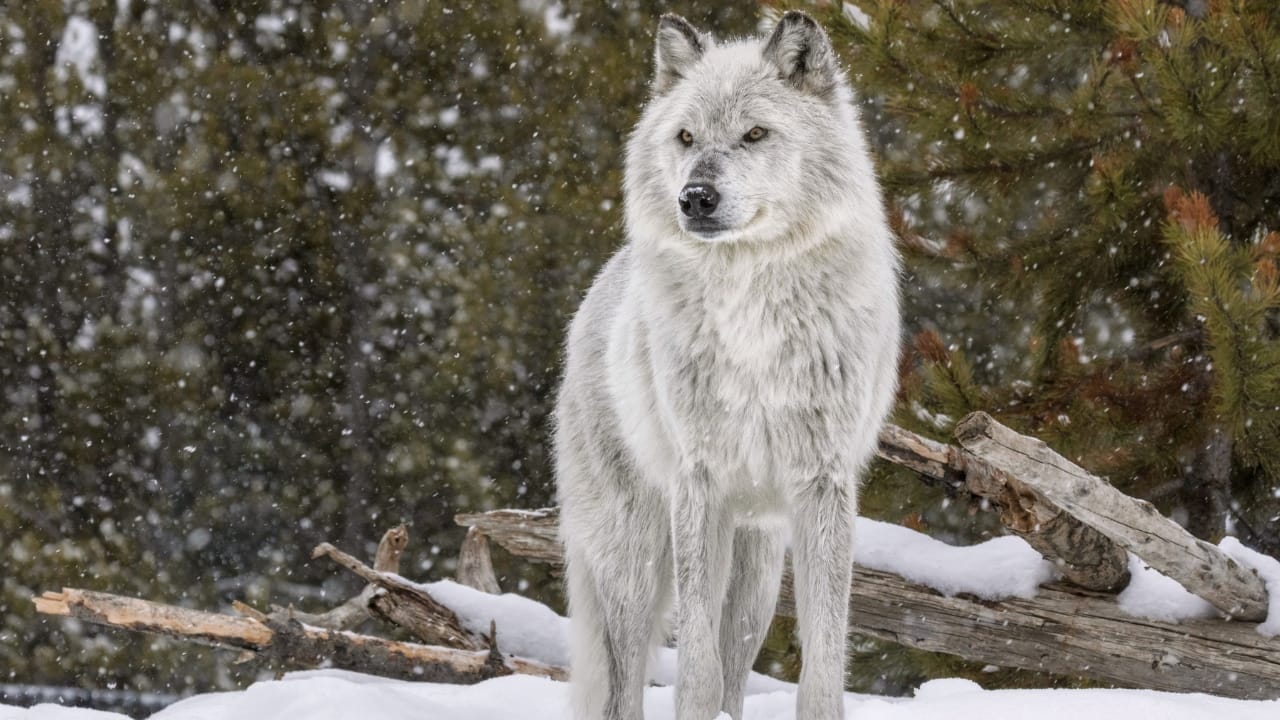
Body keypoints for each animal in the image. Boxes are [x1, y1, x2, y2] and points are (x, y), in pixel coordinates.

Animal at [554, 11, 901, 720]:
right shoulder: (700, 483)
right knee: (626, 683)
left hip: (758, 570)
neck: (752, 312)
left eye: (755, 134)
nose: (696, 197)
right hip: (634, 557)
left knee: (737, 660)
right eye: (686, 136)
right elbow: (696, 669)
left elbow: (822, 663)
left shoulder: (822, 484)